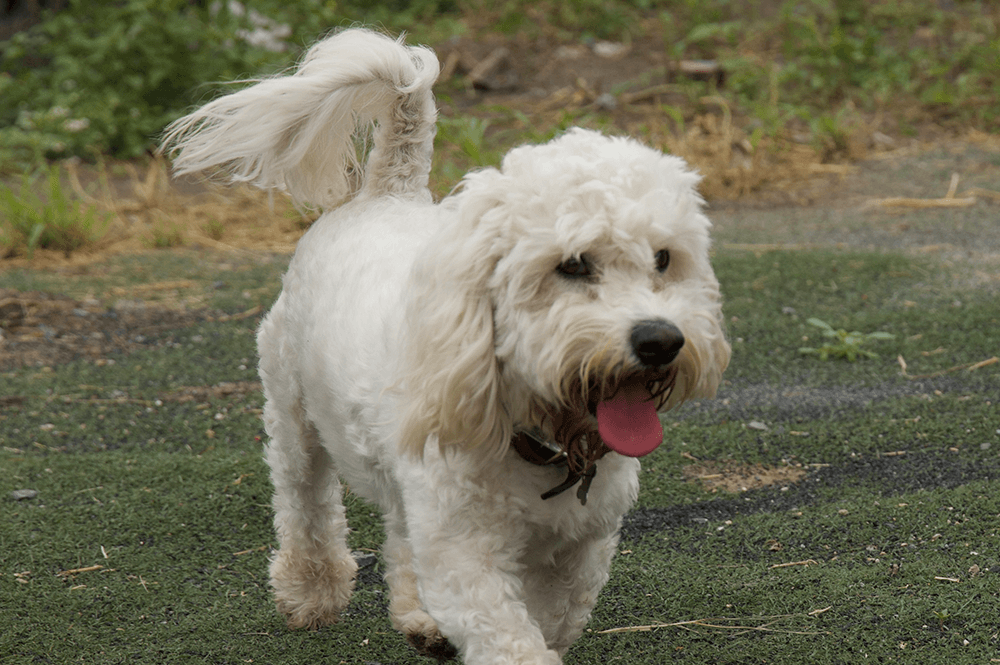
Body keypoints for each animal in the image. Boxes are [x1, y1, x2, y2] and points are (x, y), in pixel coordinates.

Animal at [162, 28, 730, 665]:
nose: (660, 339)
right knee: (304, 501)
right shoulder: (465, 553)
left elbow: (553, 617)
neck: (542, 440)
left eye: (664, 259)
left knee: (398, 528)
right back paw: (310, 591)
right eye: (572, 265)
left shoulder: (578, 549)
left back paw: (418, 617)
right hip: (292, 411)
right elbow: (510, 639)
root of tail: (389, 193)